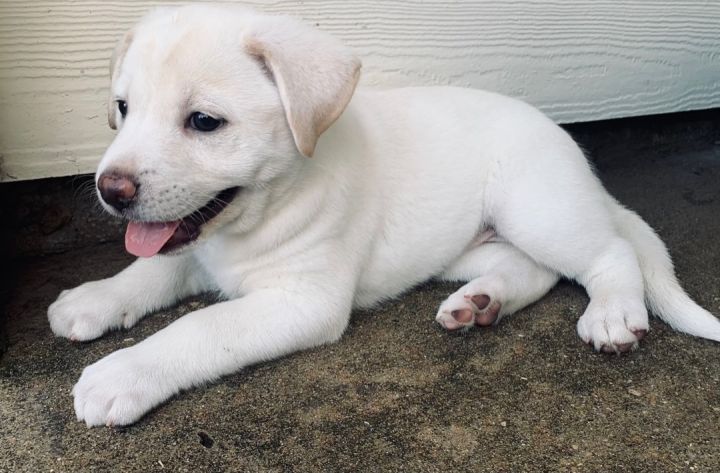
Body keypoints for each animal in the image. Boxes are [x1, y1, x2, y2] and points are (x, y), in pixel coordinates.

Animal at [47, 3, 716, 426]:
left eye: (204, 122)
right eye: (123, 108)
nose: (111, 190)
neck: (252, 220)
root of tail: (571, 152)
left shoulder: (303, 302)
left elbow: (200, 327)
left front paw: (120, 375)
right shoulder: (193, 244)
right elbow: (149, 270)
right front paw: (94, 299)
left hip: (536, 206)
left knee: (607, 253)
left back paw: (613, 314)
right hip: (470, 245)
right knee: (535, 269)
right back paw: (481, 303)